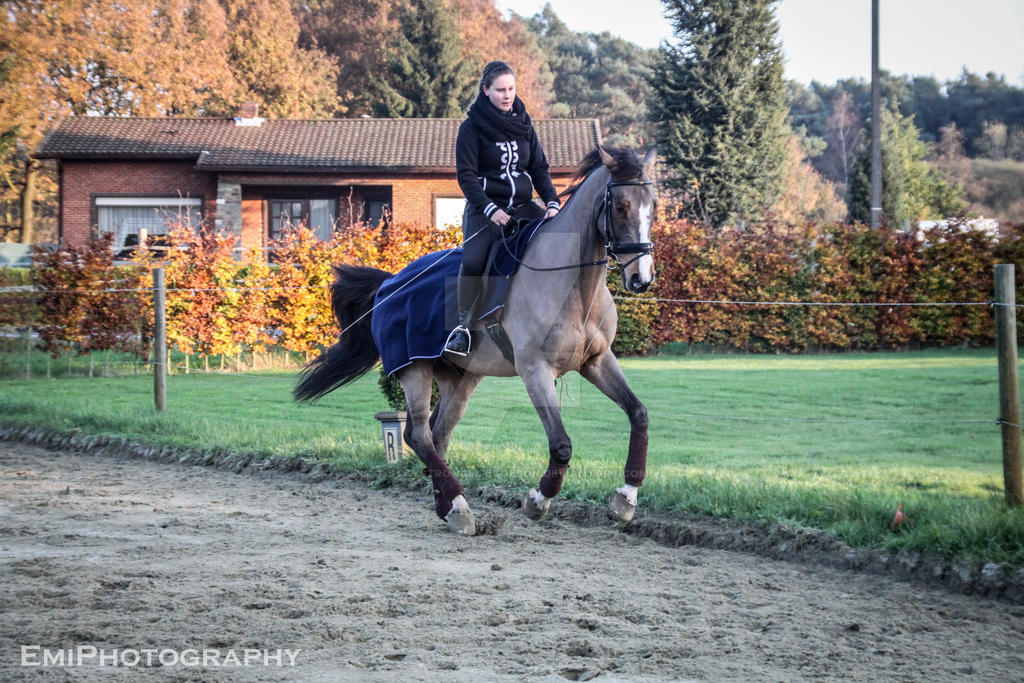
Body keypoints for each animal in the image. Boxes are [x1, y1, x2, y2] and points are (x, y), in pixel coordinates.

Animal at [294, 147, 655, 536]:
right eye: (621, 207)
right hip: (414, 372)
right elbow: (560, 445)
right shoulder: (535, 370)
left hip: (460, 379)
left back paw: (448, 506)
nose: (641, 278)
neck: (572, 284)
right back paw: (459, 508)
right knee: (418, 436)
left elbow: (638, 413)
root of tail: (388, 283)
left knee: (437, 435)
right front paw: (537, 501)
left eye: (653, 205)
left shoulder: (597, 361)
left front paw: (625, 499)